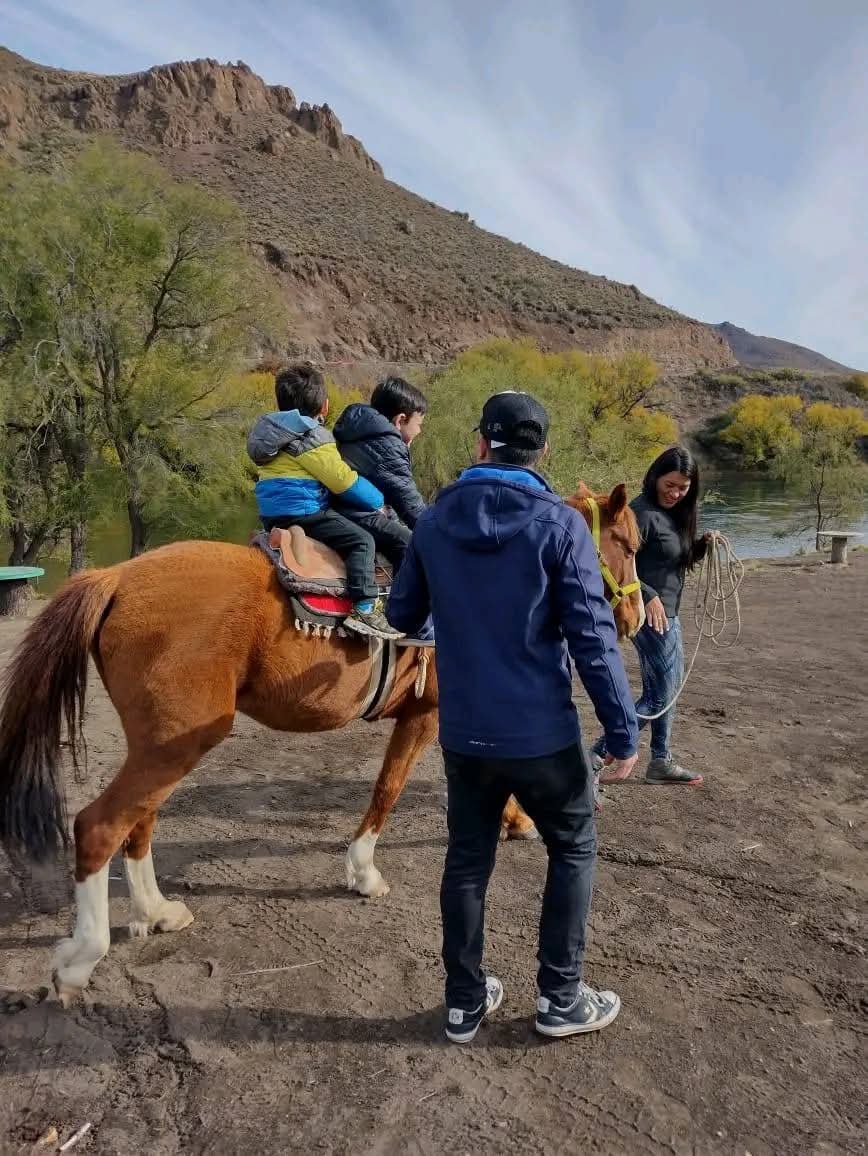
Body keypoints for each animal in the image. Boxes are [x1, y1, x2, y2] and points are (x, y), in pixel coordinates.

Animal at [0, 481, 642, 1004]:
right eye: (630, 544)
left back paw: (155, 911)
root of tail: (118, 576)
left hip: (160, 746)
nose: (636, 617)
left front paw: (514, 819)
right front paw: (363, 871)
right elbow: (388, 788)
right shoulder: (428, 715)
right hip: (172, 746)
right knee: (99, 826)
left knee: (139, 823)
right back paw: (80, 960)